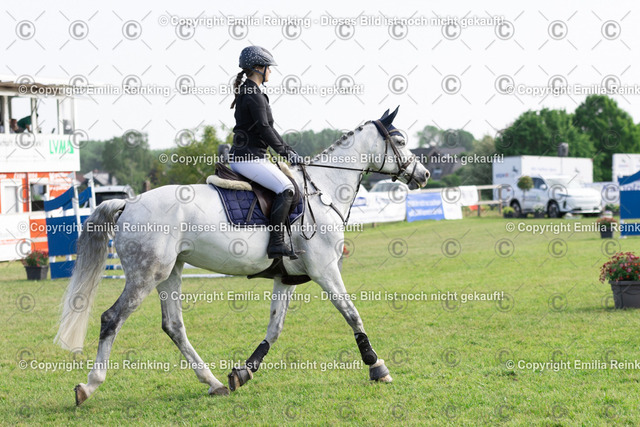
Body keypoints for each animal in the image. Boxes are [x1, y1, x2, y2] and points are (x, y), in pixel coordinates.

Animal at [55, 107, 430, 405]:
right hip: (146, 275)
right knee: (111, 319)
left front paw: (243, 372)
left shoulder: (287, 277)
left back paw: (214, 383)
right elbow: (352, 314)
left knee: (173, 326)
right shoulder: (324, 269)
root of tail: (128, 203)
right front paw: (377, 366)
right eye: (400, 141)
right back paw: (88, 387)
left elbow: (275, 328)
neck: (322, 191)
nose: (423, 174)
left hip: (170, 272)